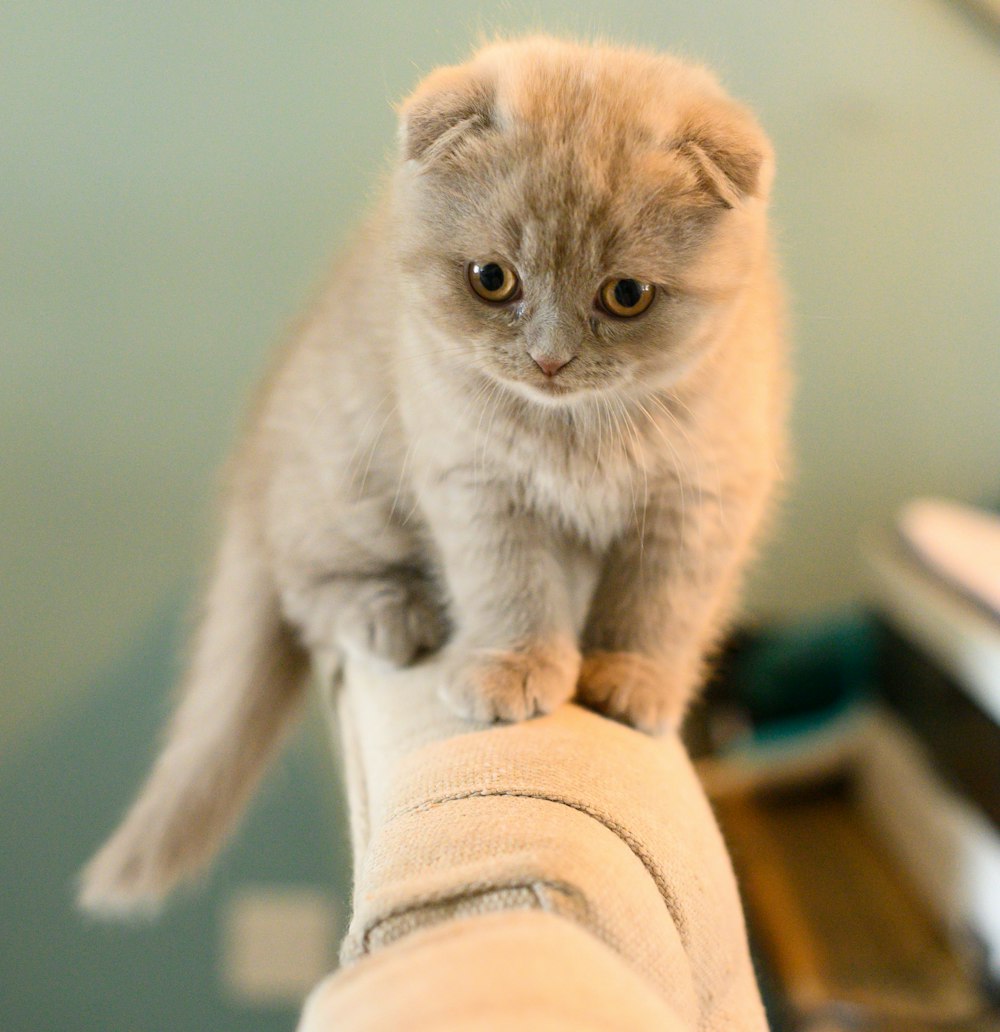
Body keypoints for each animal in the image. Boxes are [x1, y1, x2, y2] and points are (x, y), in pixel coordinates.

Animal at [79, 36, 788, 916]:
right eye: (493, 279)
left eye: (626, 295)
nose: (549, 359)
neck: (576, 432)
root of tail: (254, 453)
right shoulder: (475, 482)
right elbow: (507, 582)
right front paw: (515, 667)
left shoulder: (702, 498)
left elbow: (661, 600)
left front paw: (631, 681)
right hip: (350, 477)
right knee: (304, 590)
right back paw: (393, 611)